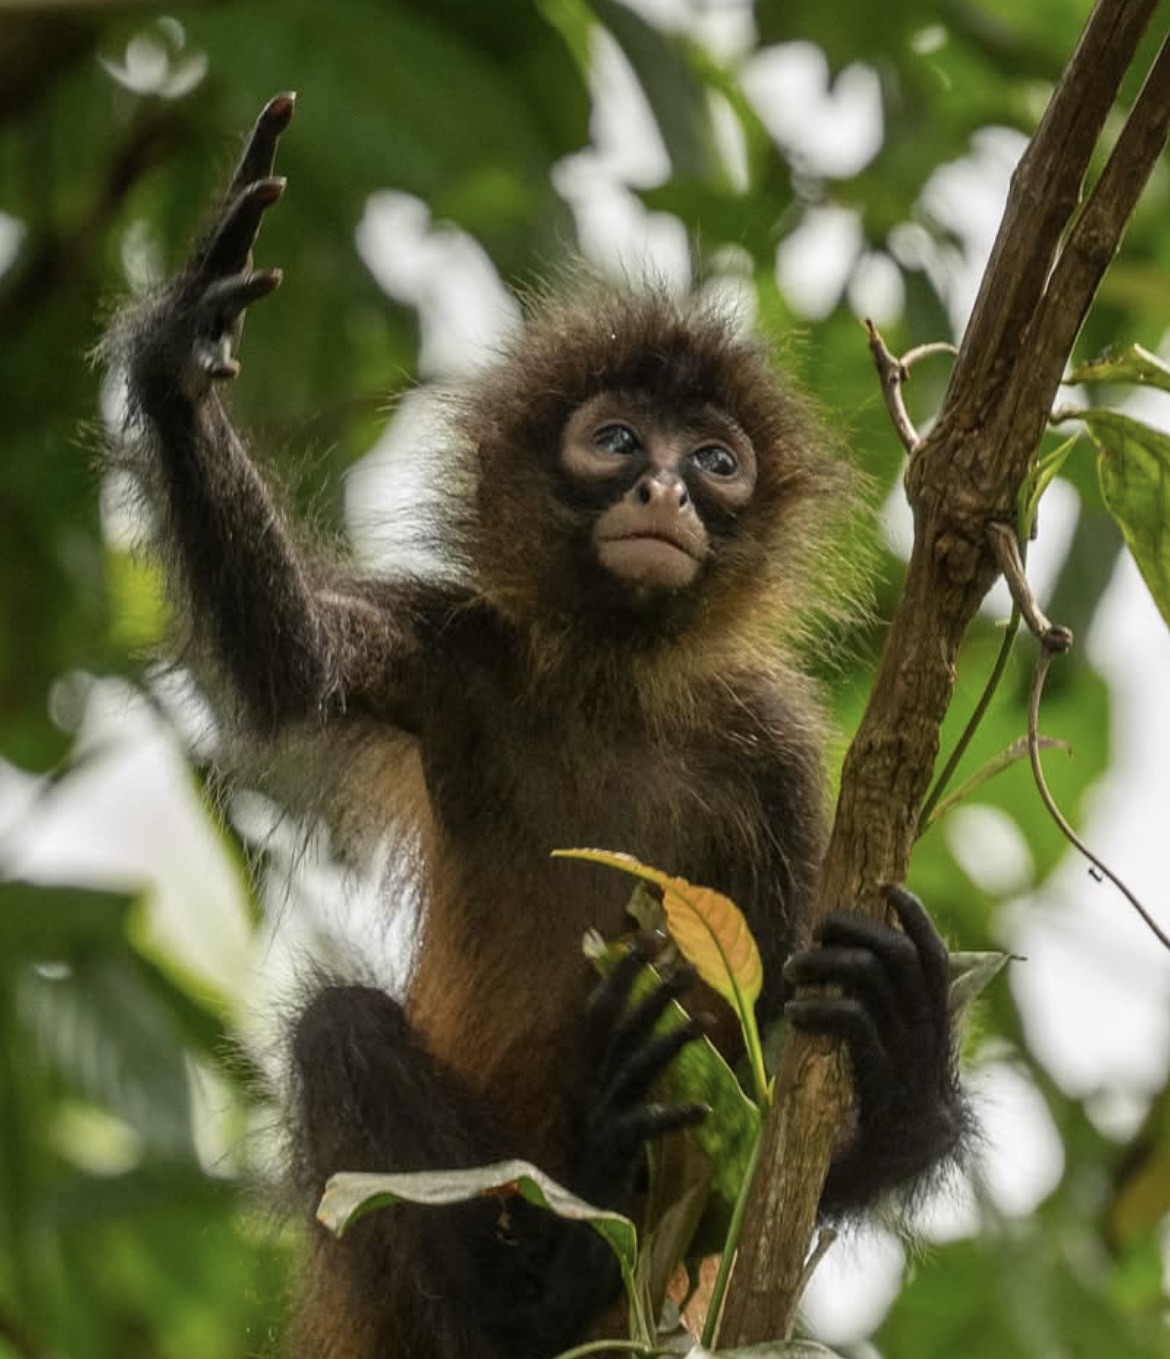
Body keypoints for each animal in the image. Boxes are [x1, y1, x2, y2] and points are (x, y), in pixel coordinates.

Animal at [100, 94, 967, 1358]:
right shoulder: (461, 651)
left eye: (716, 462)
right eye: (616, 443)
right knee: (340, 1029)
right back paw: (533, 1288)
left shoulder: (776, 751)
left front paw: (903, 1074)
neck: (609, 684)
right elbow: (294, 666)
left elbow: (782, 1106)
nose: (665, 491)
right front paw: (183, 349)